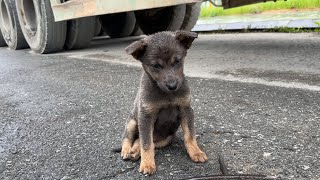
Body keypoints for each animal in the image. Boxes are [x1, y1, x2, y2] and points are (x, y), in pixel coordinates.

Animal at [120, 30, 208, 174]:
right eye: (156, 65)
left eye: (177, 61)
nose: (172, 86)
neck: (167, 95)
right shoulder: (145, 116)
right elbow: (146, 143)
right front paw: (147, 164)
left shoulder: (186, 109)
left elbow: (190, 135)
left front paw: (196, 152)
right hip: (132, 122)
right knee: (129, 137)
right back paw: (127, 150)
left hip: (166, 139)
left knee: (141, 140)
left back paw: (135, 151)